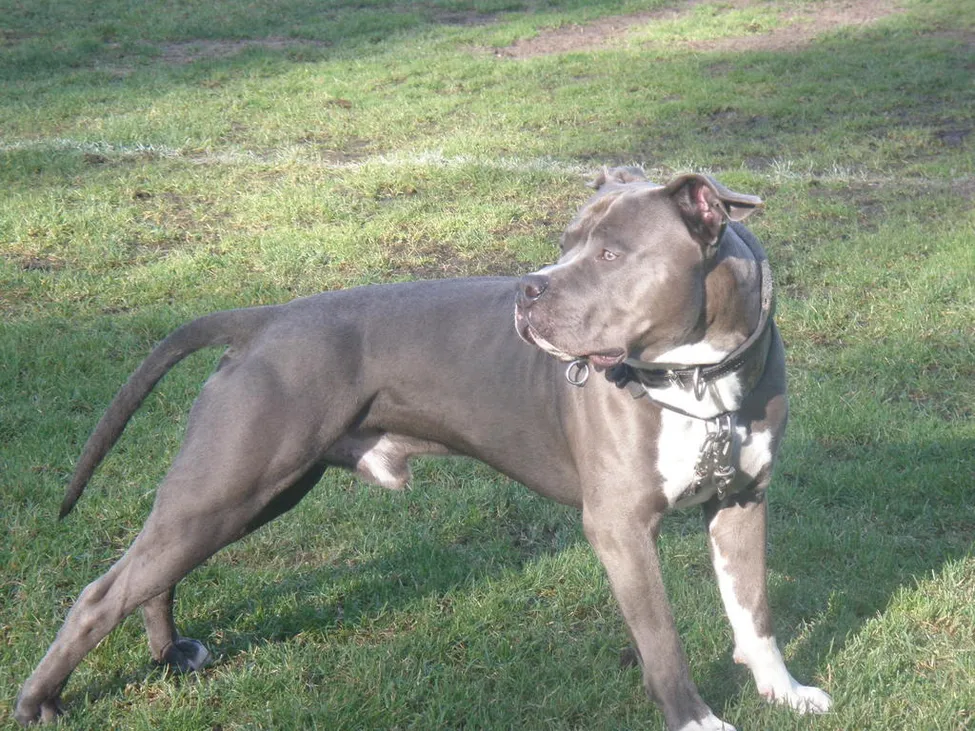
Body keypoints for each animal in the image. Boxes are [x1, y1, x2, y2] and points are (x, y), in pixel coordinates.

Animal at [15, 169, 831, 730]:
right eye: (564, 244)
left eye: (607, 253)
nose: (528, 289)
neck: (699, 376)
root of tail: (266, 319)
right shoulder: (621, 527)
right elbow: (662, 640)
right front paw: (697, 719)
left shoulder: (742, 501)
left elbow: (753, 609)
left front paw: (783, 689)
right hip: (232, 483)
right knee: (102, 592)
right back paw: (39, 700)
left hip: (249, 492)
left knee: (153, 572)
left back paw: (169, 652)